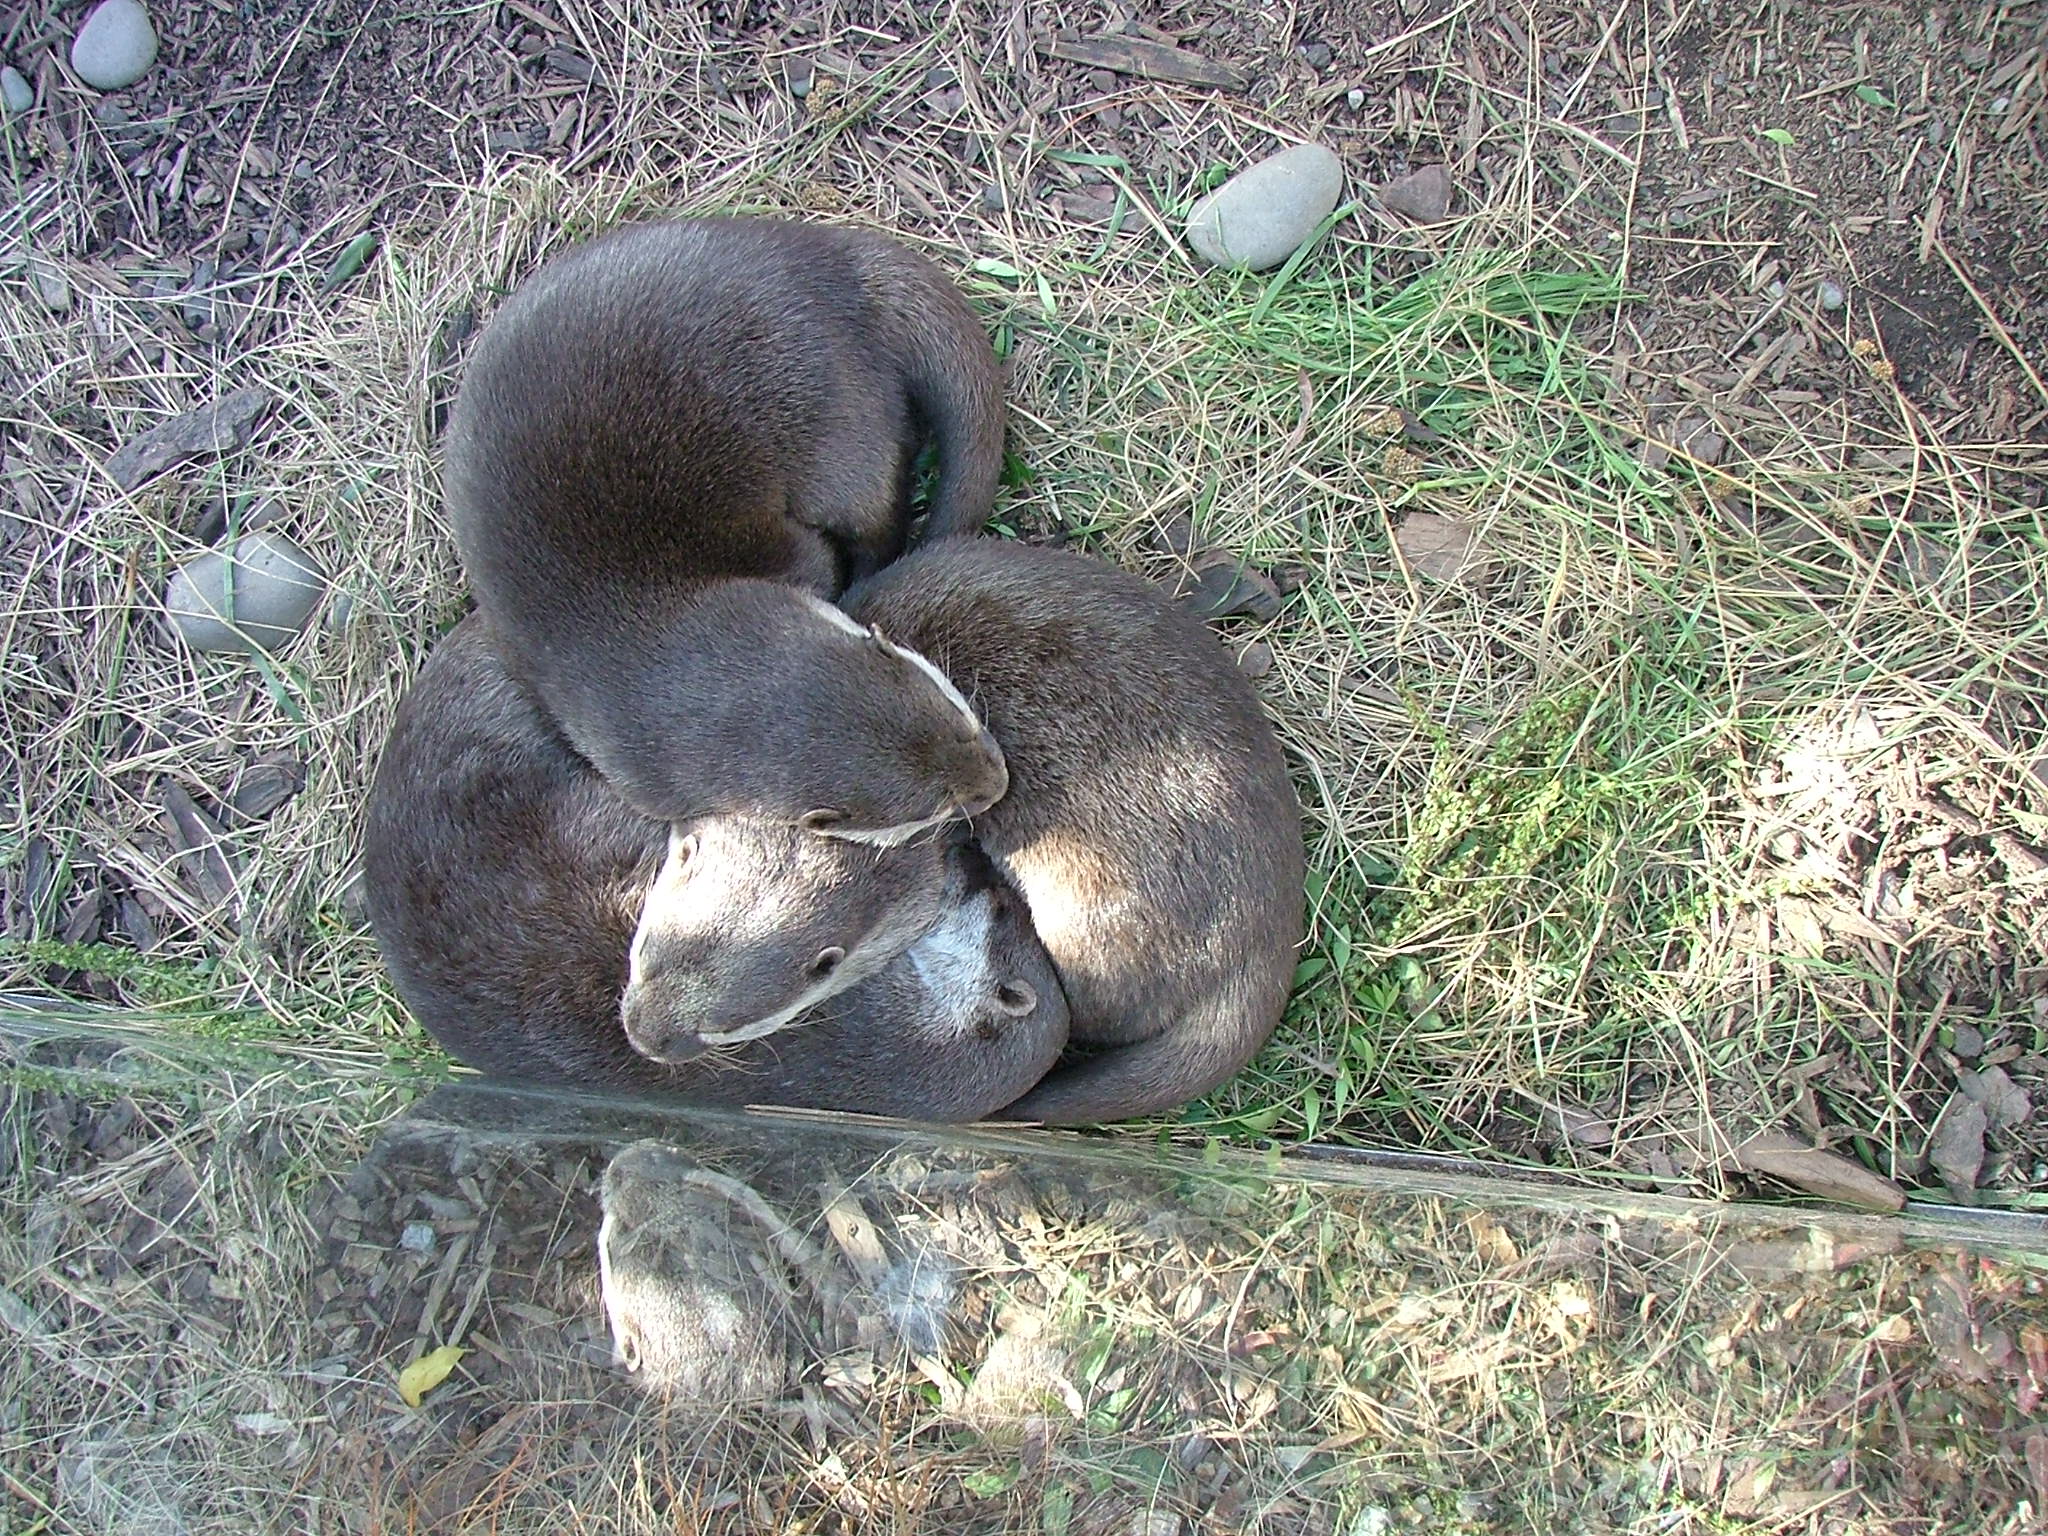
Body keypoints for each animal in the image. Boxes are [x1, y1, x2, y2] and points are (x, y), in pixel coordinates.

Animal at [456, 215, 1015, 843]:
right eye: (943, 806)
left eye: (956, 716)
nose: (997, 779)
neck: (663, 655)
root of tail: (822, 260)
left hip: (840, 413)